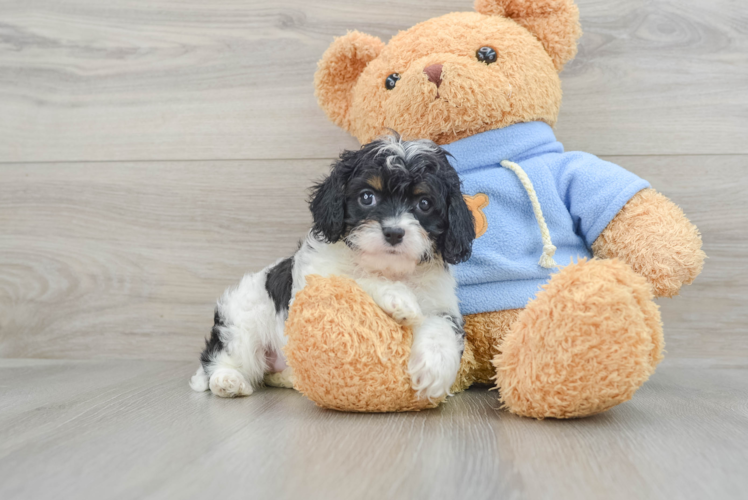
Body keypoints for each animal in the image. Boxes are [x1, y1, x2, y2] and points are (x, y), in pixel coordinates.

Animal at [190, 135, 476, 400]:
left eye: (424, 203)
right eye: (367, 197)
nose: (394, 232)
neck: (390, 269)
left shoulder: (441, 301)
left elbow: (442, 326)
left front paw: (434, 369)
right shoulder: (315, 280)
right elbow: (355, 279)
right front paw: (398, 297)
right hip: (240, 323)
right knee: (225, 357)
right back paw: (228, 380)